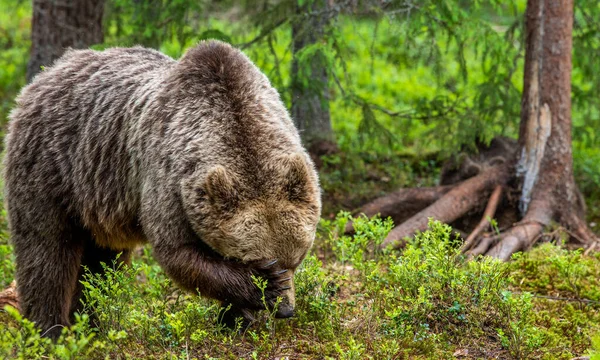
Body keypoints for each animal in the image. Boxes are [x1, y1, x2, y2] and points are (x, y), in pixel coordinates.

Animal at [4, 40, 322, 338]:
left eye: (297, 259)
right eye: (256, 261)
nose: (285, 309)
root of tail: (45, 75)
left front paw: (234, 320)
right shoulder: (169, 181)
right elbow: (179, 252)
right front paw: (258, 294)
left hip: (98, 201)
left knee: (101, 265)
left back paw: (92, 324)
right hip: (52, 168)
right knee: (46, 252)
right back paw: (49, 331)